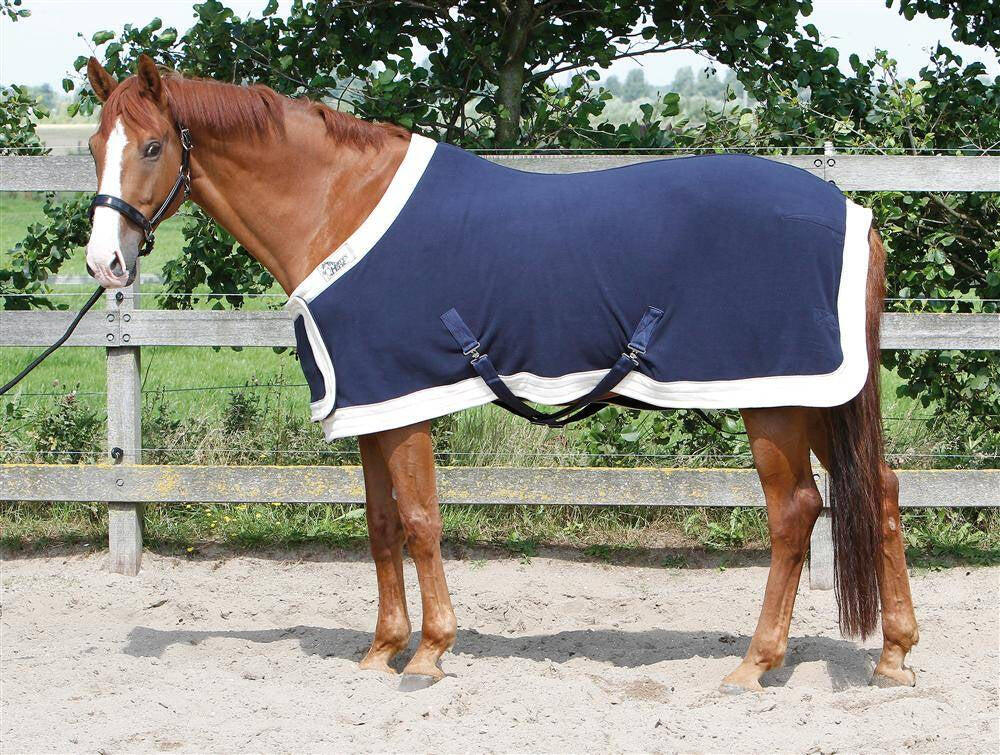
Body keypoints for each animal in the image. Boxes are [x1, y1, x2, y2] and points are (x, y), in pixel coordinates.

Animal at [82, 55, 919, 692]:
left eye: (152, 147)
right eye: (93, 145)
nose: (105, 264)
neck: (338, 205)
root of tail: (853, 215)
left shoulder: (405, 401)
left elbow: (421, 521)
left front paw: (429, 653)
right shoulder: (373, 405)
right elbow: (381, 524)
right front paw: (382, 648)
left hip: (773, 400)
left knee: (794, 513)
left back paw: (755, 663)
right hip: (817, 394)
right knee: (879, 488)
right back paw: (894, 655)